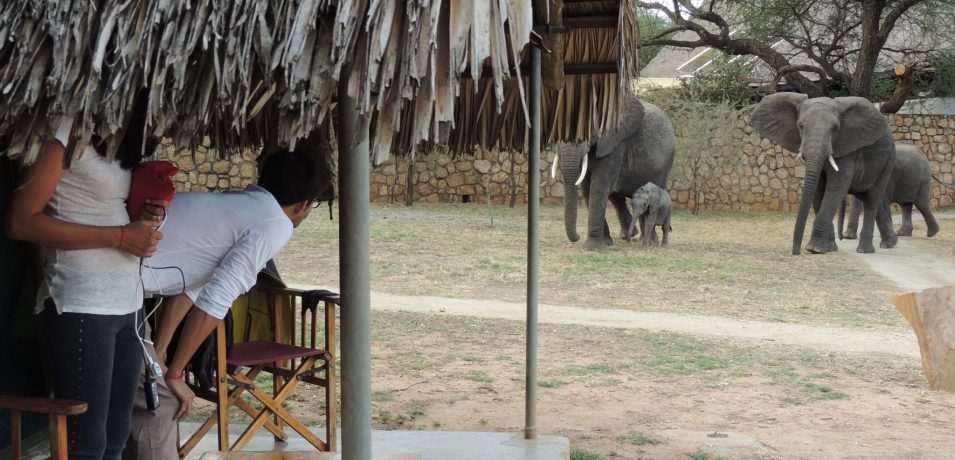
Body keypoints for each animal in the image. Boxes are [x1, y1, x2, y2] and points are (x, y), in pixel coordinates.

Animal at [552, 95, 680, 250]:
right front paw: (606, 243)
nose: (577, 236)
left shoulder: (616, 142)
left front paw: (593, 248)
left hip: (666, 162)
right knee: (617, 196)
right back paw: (631, 236)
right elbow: (587, 188)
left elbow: (599, 186)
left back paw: (650, 242)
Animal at [752, 91, 900, 253]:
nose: (796, 252)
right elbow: (818, 189)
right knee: (872, 200)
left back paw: (865, 250)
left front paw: (814, 249)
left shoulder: (846, 146)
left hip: (888, 160)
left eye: (835, 128)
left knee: (872, 199)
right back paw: (889, 243)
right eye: (800, 126)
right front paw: (829, 248)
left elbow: (835, 188)